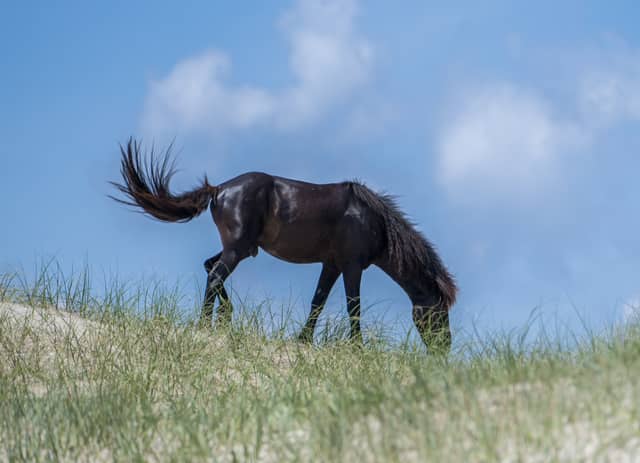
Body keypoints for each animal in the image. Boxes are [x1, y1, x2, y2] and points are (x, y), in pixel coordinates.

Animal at [111, 139, 457, 352]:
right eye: (439, 312)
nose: (444, 350)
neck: (372, 220)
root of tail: (220, 189)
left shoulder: (331, 264)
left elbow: (318, 301)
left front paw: (303, 339)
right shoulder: (352, 265)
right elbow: (353, 307)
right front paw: (358, 347)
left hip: (239, 248)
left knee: (210, 268)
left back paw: (223, 316)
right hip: (237, 250)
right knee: (215, 275)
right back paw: (206, 324)